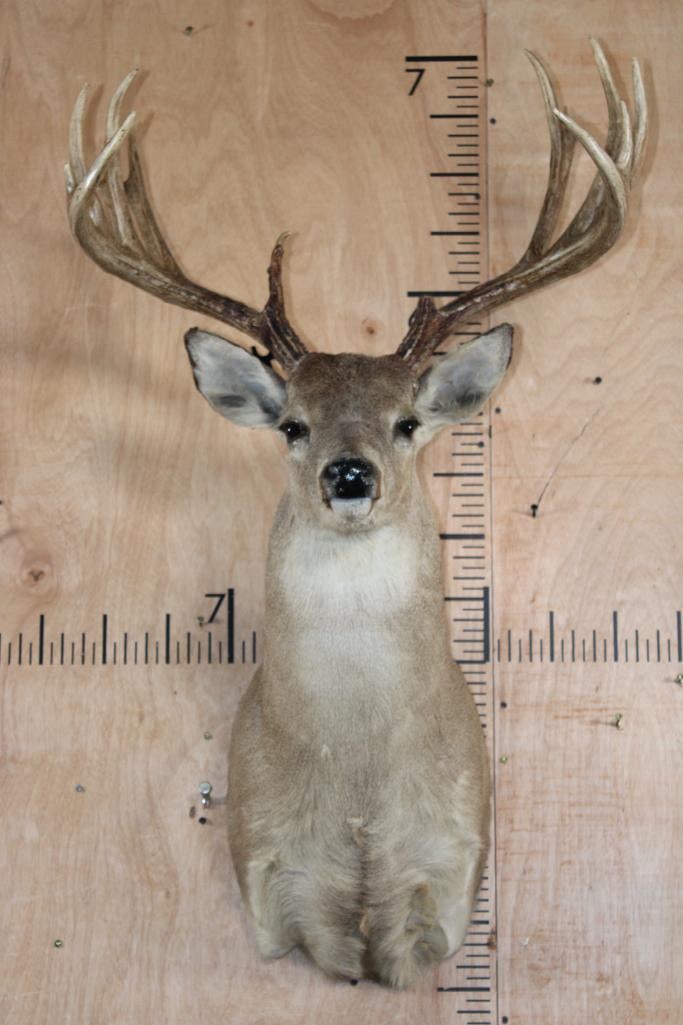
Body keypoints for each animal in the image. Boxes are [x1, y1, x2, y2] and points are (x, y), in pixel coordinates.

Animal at [65, 39, 646, 988]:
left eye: (406, 421)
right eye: (292, 424)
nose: (348, 473)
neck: (358, 787)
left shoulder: (452, 857)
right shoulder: (266, 862)